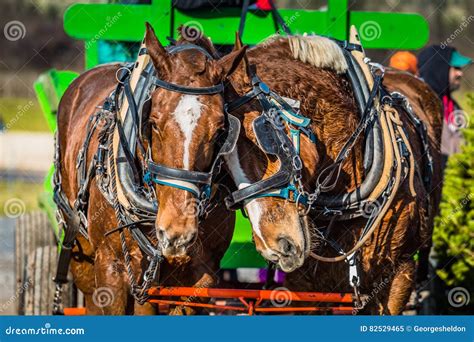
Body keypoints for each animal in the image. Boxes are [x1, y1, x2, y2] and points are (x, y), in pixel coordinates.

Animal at [56, 23, 244, 312]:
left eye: (220, 129)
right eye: (153, 122)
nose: (177, 232)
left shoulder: (199, 277)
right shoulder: (111, 268)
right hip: (80, 246)